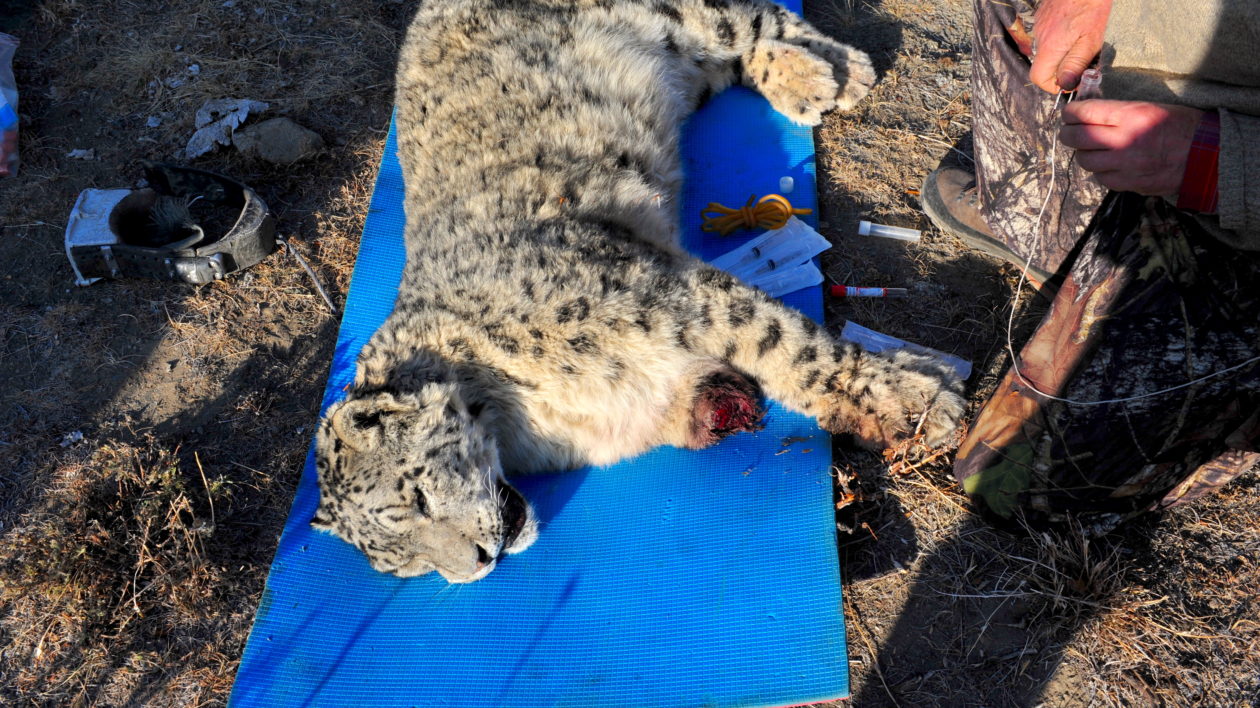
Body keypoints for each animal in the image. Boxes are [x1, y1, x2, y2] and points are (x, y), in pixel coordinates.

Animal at [309, 0, 957, 582]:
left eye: (416, 498)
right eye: (407, 565)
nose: (476, 565)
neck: (522, 421)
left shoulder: (659, 294)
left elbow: (788, 346)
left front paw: (917, 404)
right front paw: (720, 406)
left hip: (666, 17)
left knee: (750, 19)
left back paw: (834, 73)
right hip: (684, 70)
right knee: (732, 50)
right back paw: (821, 75)